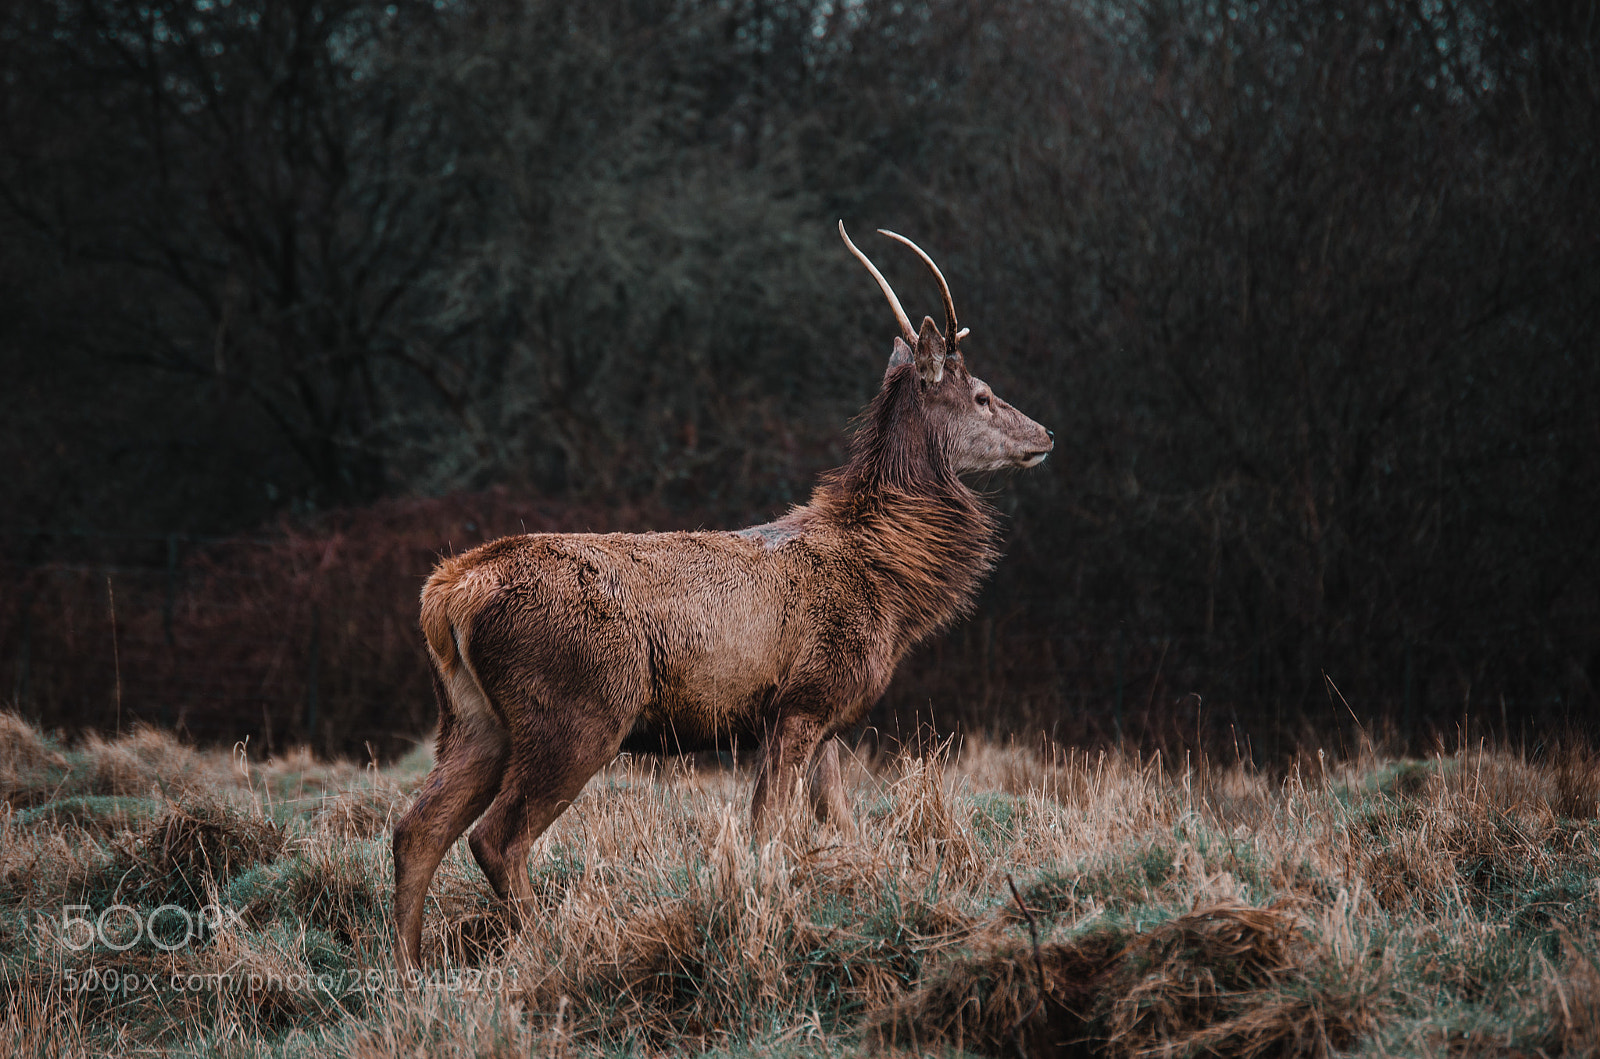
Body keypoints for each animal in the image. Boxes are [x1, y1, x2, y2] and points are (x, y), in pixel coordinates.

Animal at [392, 222, 1054, 972]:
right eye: (983, 394)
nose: (1044, 434)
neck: (889, 580)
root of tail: (448, 596)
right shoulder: (804, 699)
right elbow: (769, 829)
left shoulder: (825, 718)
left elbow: (835, 822)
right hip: (578, 707)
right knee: (496, 836)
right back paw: (549, 946)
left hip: (472, 718)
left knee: (417, 827)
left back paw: (407, 968)